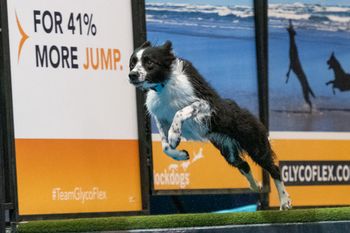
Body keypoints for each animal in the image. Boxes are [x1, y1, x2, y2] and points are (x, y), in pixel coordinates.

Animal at [129, 41, 292, 210]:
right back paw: (256, 186)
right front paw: (180, 153)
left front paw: (174, 136)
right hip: (228, 151)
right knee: (244, 165)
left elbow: (180, 112)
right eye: (132, 64)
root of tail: (253, 117)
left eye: (149, 62)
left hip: (255, 145)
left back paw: (284, 201)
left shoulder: (206, 103)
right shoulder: (160, 118)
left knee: (274, 169)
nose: (132, 75)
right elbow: (165, 147)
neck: (164, 84)